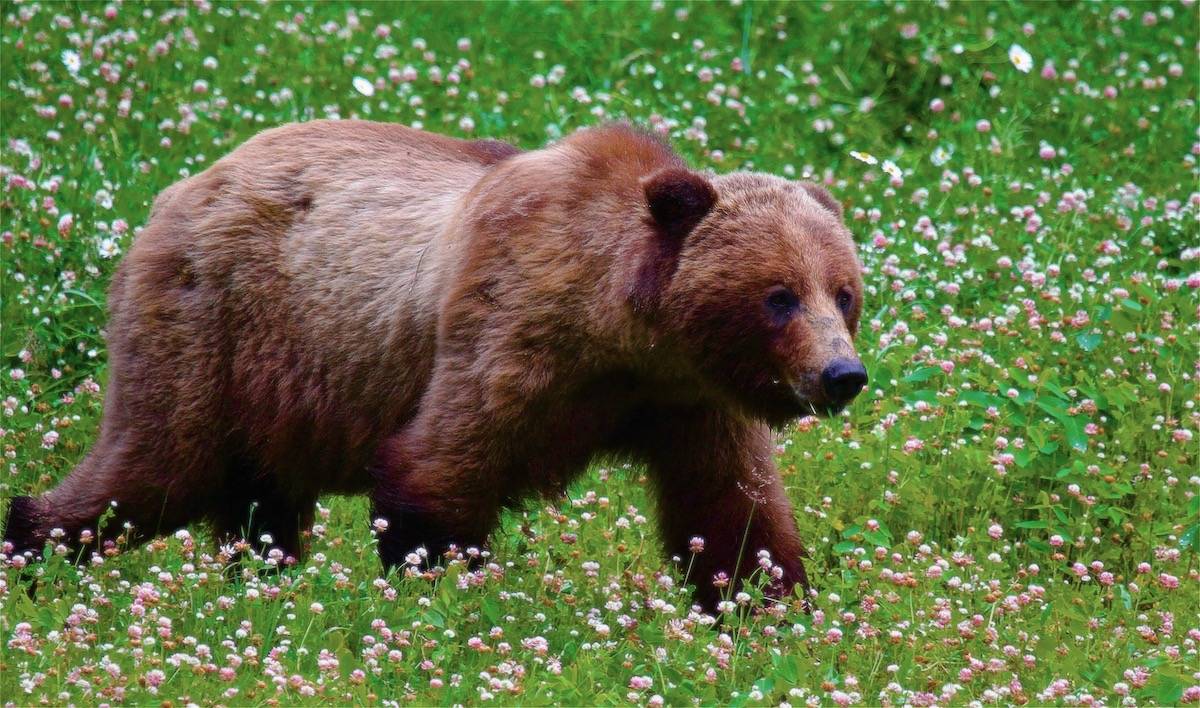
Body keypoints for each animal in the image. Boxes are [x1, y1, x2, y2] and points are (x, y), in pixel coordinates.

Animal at [0, 120, 864, 609]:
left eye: (844, 292)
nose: (841, 376)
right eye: (779, 296)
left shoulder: (689, 404)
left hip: (273, 391)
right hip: (212, 330)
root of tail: (182, 187)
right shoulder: (509, 335)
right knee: (149, 470)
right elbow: (437, 473)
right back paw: (32, 552)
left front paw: (770, 608)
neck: (623, 334)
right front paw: (442, 603)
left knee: (257, 508)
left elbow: (732, 513)